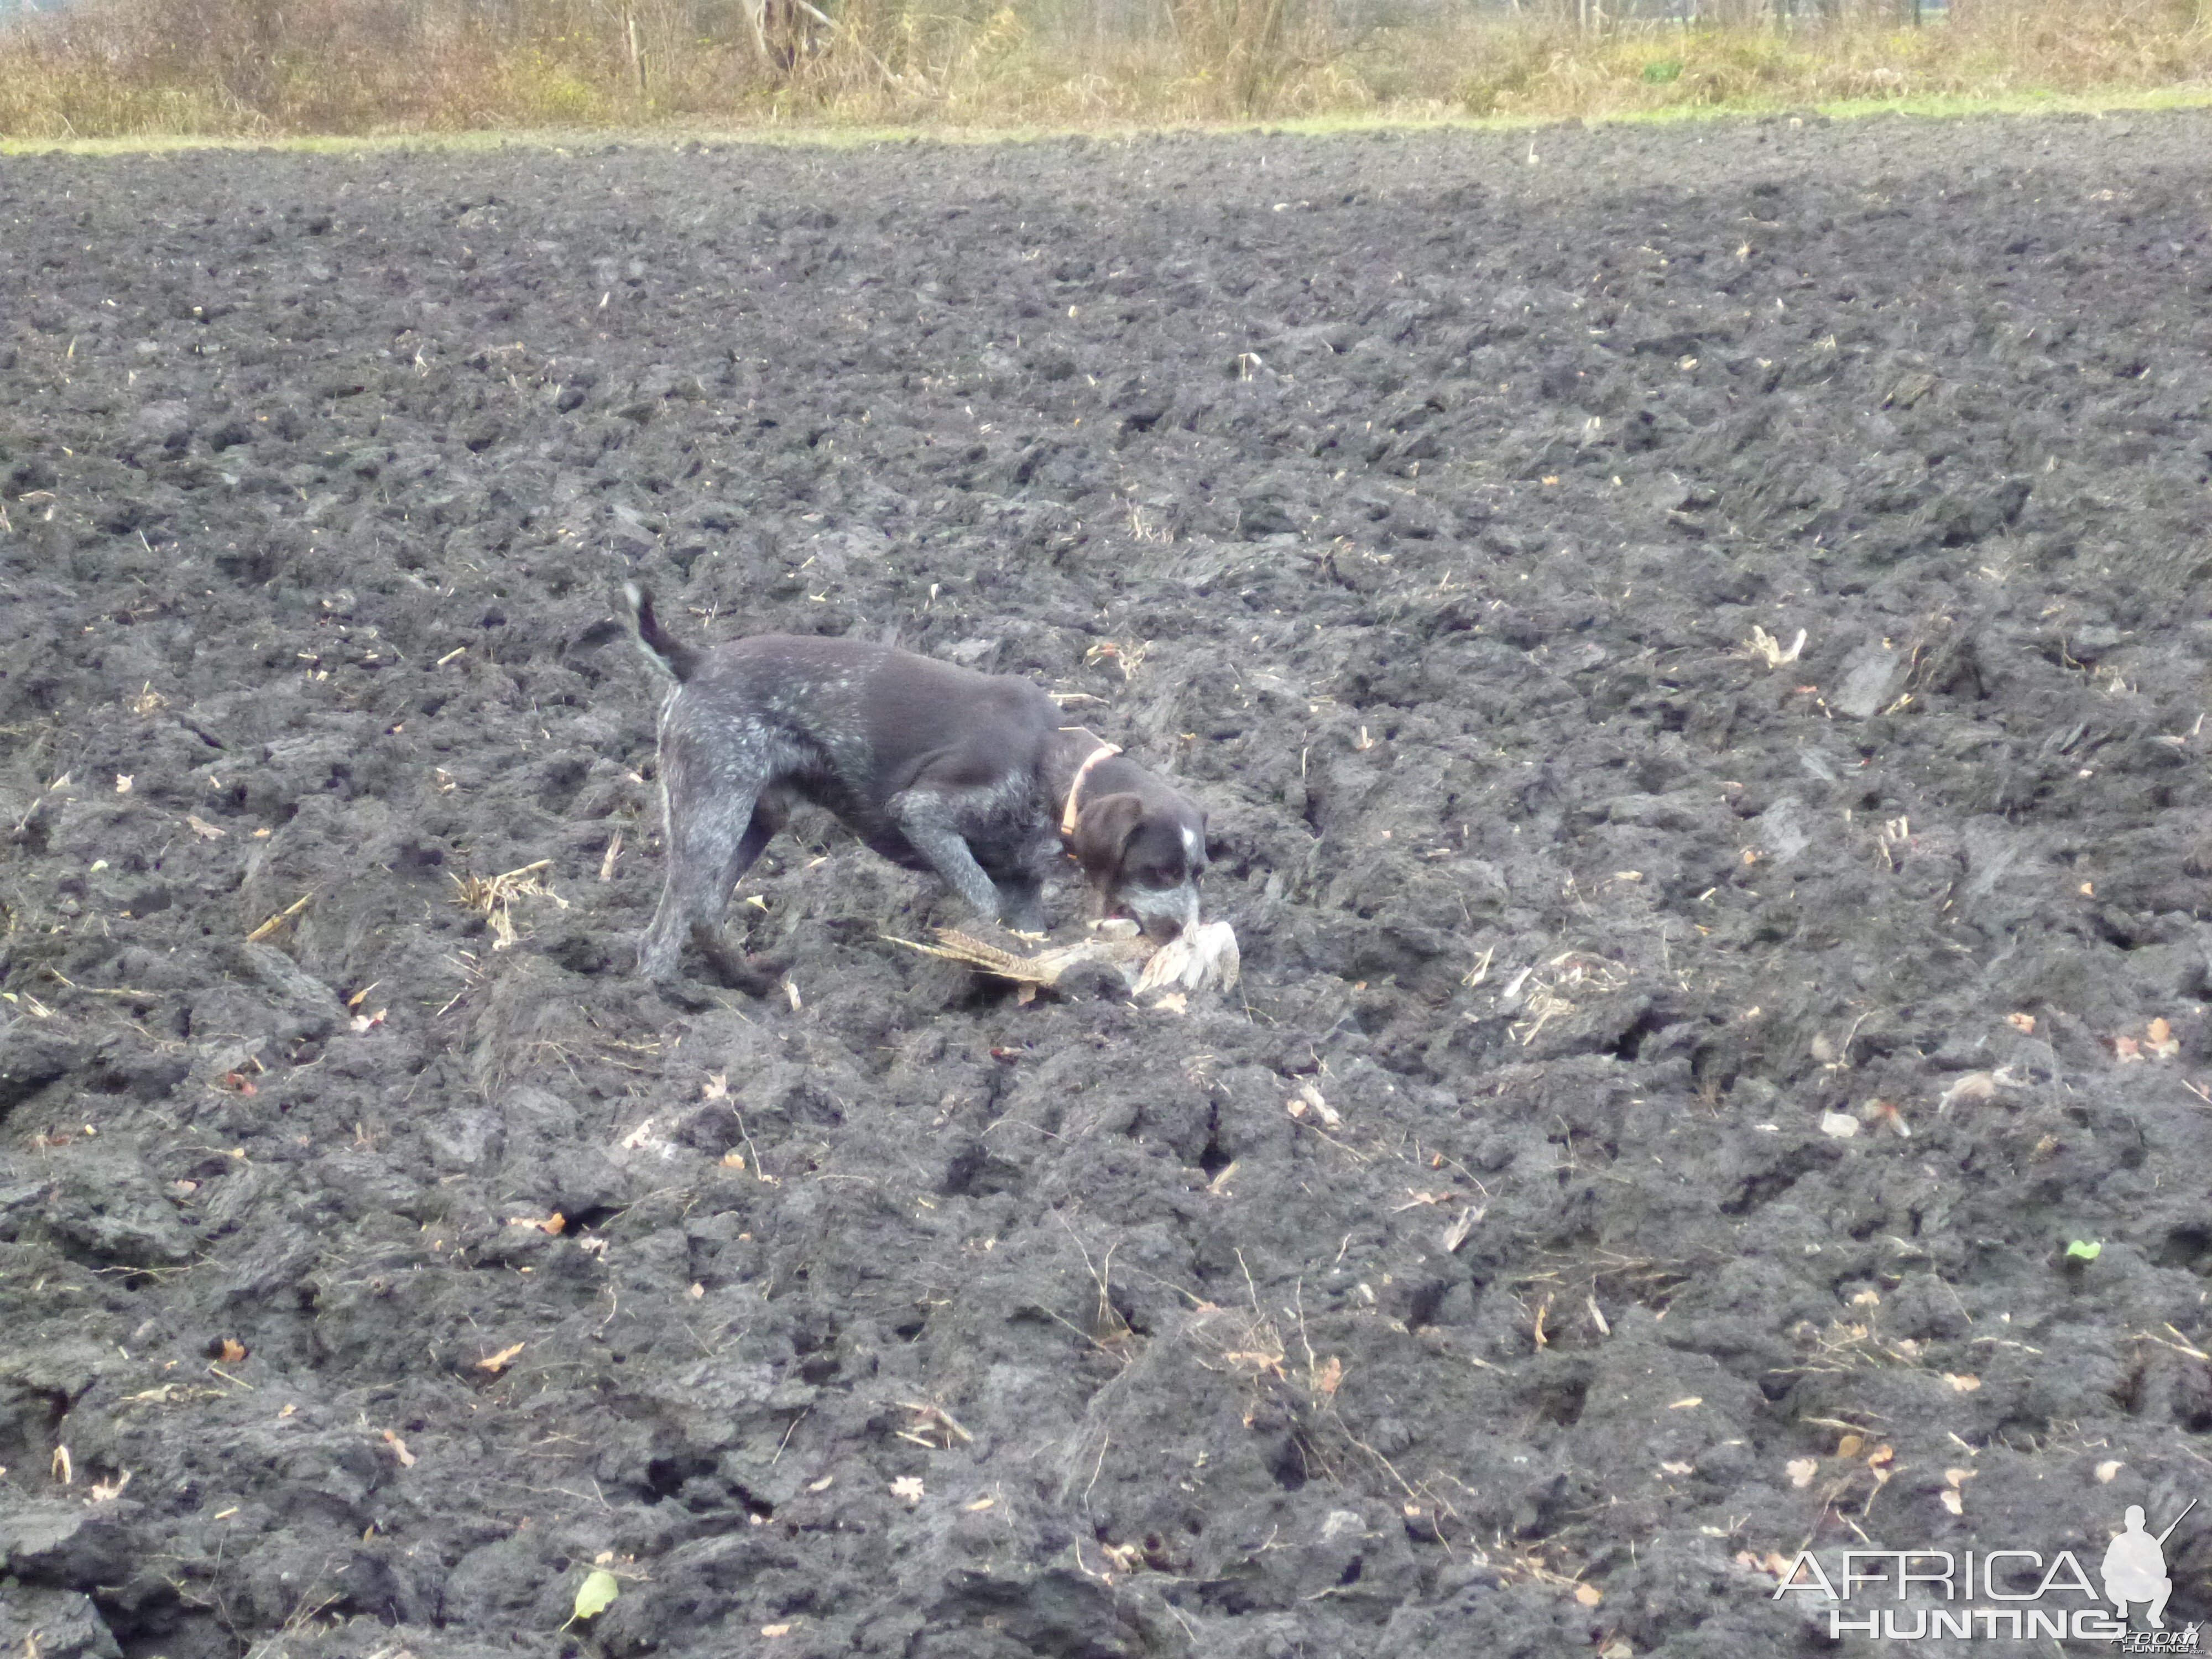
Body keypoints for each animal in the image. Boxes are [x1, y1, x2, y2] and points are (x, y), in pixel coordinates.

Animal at [624, 588, 1212, 987]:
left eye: (1198, 874)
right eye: (1158, 872)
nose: (1185, 932)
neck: (1050, 767)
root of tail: (697, 662)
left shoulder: (1022, 882)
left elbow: (1025, 931)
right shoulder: (922, 812)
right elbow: (984, 902)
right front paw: (985, 950)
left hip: (756, 819)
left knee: (704, 911)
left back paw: (746, 981)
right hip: (711, 812)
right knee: (664, 928)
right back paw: (658, 996)